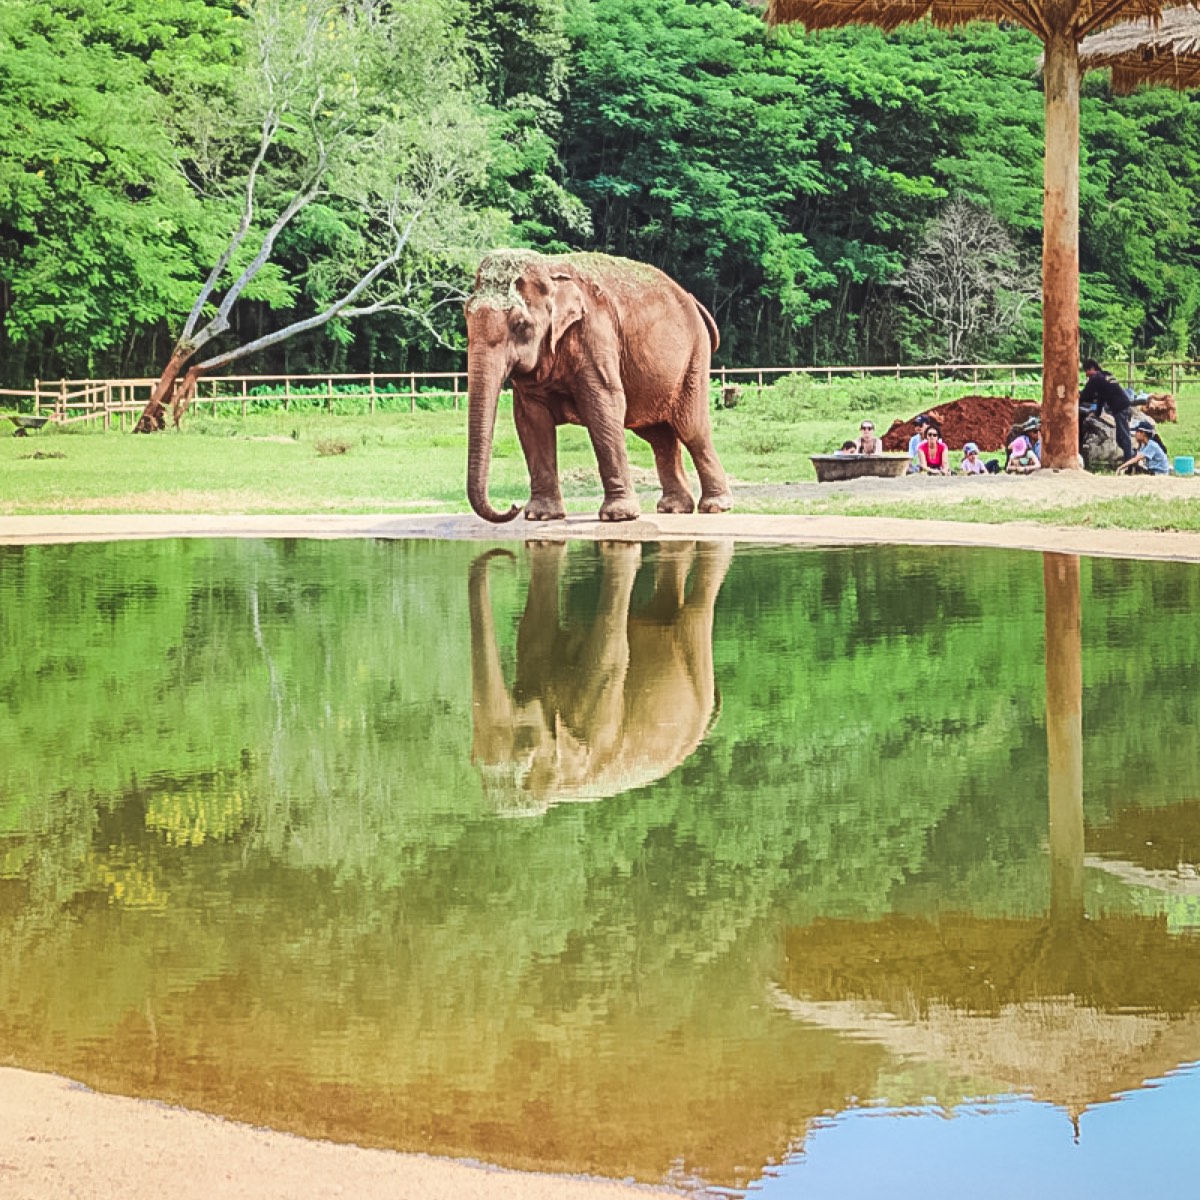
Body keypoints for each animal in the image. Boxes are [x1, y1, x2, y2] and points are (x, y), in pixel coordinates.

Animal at [465, 249, 733, 523]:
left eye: (519, 324)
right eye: (466, 316)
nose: (513, 506)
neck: (549, 267)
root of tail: (693, 301)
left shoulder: (594, 332)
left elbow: (603, 404)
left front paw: (618, 516)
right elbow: (531, 420)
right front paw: (541, 516)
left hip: (693, 360)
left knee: (692, 429)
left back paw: (715, 506)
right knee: (659, 436)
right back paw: (674, 508)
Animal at [469, 539, 734, 815]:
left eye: (527, 752)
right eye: (472, 758)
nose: (508, 558)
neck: (560, 788)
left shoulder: (603, 719)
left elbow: (612, 655)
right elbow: (533, 635)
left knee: (698, 610)